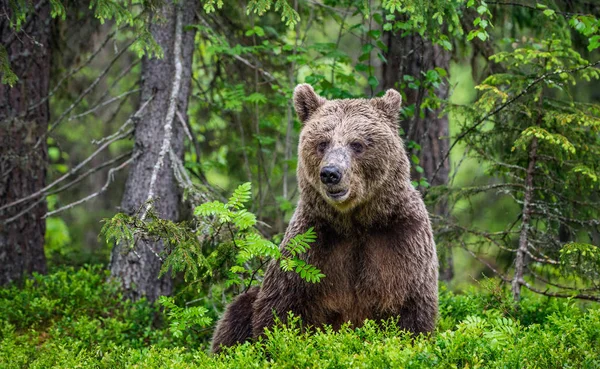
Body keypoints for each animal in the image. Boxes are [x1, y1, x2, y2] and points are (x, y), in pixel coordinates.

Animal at [211, 83, 436, 350]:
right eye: (322, 143)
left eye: (357, 144)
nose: (330, 173)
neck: (354, 222)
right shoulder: (312, 246)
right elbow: (279, 312)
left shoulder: (400, 241)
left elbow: (410, 311)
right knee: (236, 313)